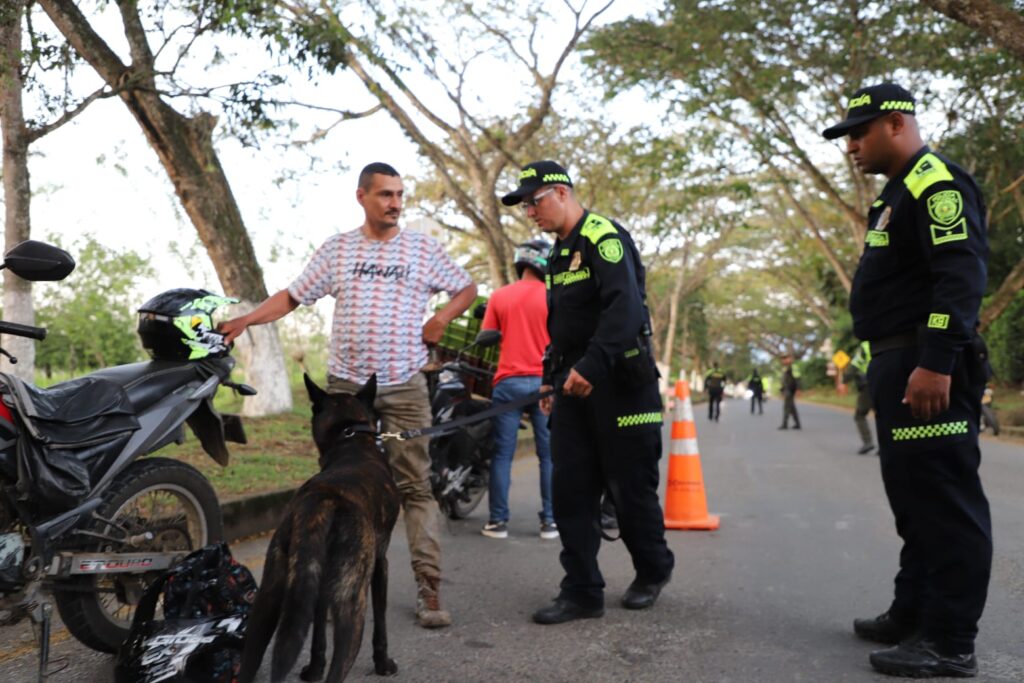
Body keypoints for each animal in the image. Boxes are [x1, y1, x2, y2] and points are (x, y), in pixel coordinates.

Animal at [239, 376, 399, 679]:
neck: (351, 441)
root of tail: (321, 501)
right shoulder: (381, 564)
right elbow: (382, 620)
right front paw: (383, 663)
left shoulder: (317, 583)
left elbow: (317, 633)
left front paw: (313, 668)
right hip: (351, 607)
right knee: (338, 670)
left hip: (268, 599)